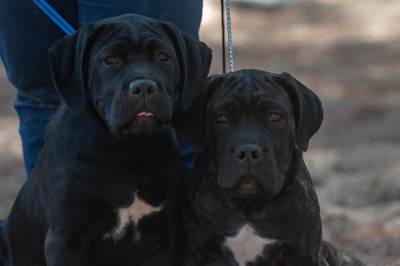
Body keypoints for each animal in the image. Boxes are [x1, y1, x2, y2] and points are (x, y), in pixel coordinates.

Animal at [0, 14, 212, 266]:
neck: (130, 152)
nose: (144, 86)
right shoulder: (66, 240)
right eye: (110, 60)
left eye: (163, 56)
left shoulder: (163, 240)